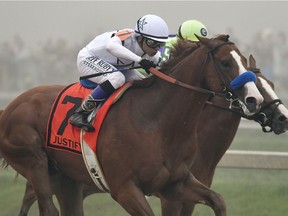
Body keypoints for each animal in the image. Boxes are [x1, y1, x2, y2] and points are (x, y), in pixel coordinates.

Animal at [0, 34, 264, 215]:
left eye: (244, 61)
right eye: (225, 62)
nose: (255, 98)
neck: (156, 122)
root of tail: (9, 108)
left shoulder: (174, 183)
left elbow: (218, 200)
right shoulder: (124, 189)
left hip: (66, 178)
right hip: (33, 161)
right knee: (47, 206)